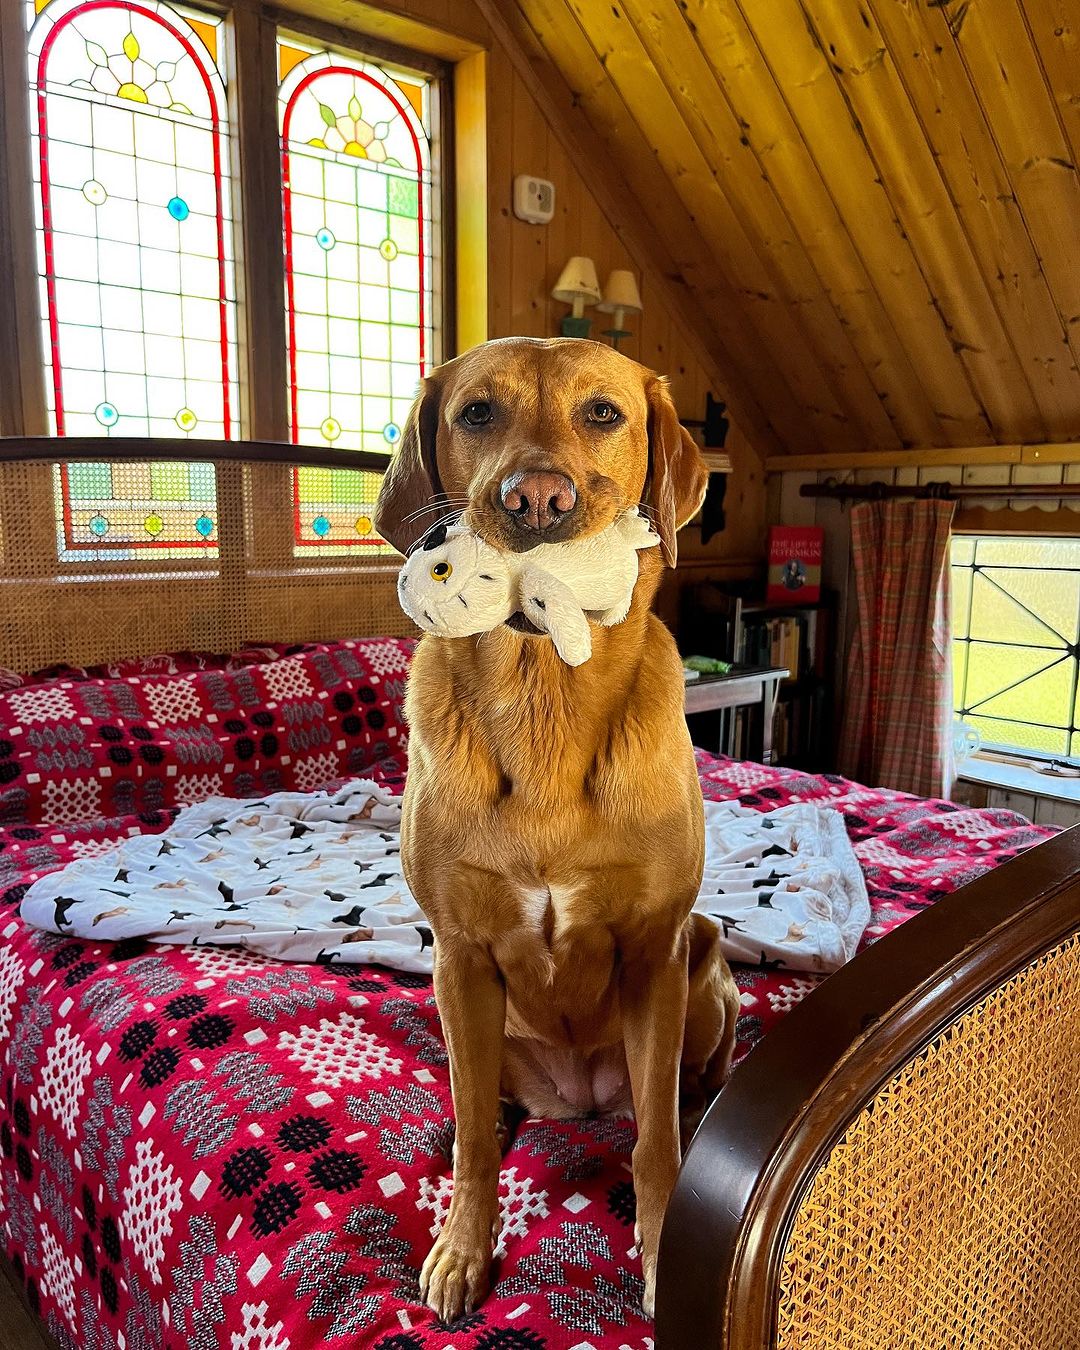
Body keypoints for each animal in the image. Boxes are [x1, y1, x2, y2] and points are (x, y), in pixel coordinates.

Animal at [375, 334, 739, 1317]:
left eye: (604, 413)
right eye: (477, 412)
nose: (536, 498)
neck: (546, 695)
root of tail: (578, 1102)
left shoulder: (655, 949)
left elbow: (655, 1145)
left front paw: (661, 1251)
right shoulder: (460, 953)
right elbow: (470, 1143)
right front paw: (464, 1248)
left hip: (705, 964)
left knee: (679, 1093)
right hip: (453, 1004)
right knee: (479, 1105)